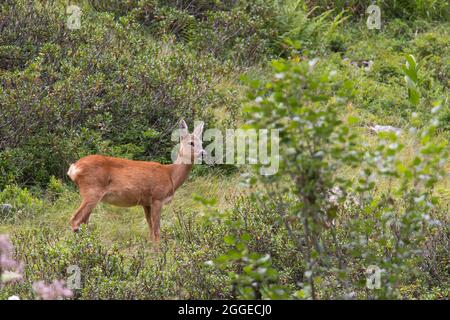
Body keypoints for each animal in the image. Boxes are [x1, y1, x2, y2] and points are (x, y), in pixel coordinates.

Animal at [66, 121, 204, 244]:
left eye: (202, 142)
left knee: (84, 222)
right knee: (75, 220)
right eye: (191, 143)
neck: (170, 174)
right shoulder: (157, 198)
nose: (203, 153)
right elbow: (157, 231)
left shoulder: (146, 203)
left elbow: (150, 230)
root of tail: (73, 168)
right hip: (92, 191)